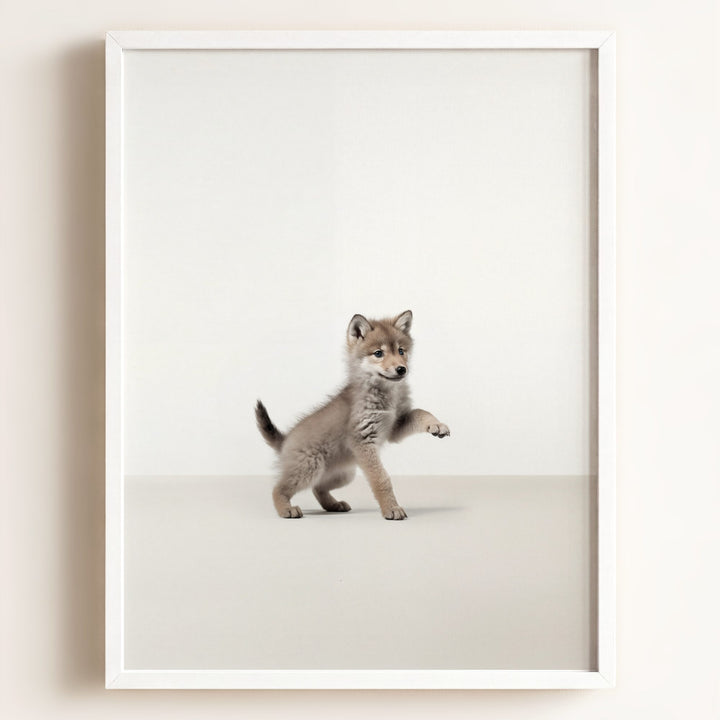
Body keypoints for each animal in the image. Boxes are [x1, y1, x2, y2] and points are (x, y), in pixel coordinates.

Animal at [255, 310, 450, 520]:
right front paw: (391, 508)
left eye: (401, 351)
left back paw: (333, 505)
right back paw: (286, 509)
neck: (386, 394)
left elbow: (421, 412)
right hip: (310, 468)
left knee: (318, 488)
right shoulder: (364, 441)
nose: (401, 369)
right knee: (278, 488)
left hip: (343, 475)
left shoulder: (395, 427)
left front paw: (437, 425)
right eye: (378, 353)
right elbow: (381, 479)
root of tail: (285, 440)